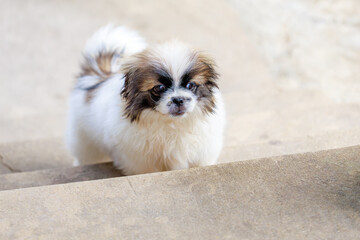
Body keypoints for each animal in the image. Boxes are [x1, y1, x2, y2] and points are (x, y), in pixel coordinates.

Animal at [65, 24, 225, 174]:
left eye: (190, 85)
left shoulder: (201, 155)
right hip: (85, 141)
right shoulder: (140, 163)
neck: (172, 124)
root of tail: (98, 75)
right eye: (159, 88)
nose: (178, 99)